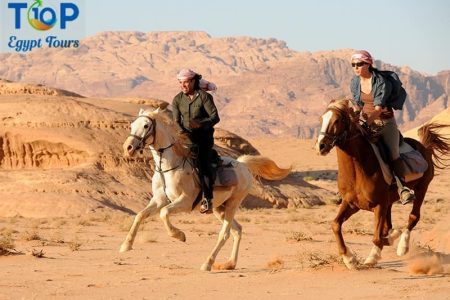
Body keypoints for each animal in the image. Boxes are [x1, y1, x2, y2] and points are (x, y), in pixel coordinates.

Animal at [119, 108, 290, 272]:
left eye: (146, 126)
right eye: (131, 125)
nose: (128, 148)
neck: (169, 167)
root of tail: (243, 165)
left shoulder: (185, 201)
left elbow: (164, 213)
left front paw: (180, 235)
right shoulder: (159, 200)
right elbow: (140, 215)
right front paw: (126, 245)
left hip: (233, 204)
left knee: (225, 234)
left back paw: (208, 263)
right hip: (218, 208)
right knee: (237, 230)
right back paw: (230, 264)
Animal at [314, 99, 448, 268]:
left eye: (337, 120)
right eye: (321, 119)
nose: (321, 146)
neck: (358, 171)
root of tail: (425, 148)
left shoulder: (379, 205)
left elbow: (377, 237)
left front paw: (372, 257)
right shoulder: (352, 204)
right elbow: (335, 225)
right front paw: (349, 259)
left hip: (421, 188)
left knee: (413, 216)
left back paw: (402, 246)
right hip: (389, 201)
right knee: (388, 226)